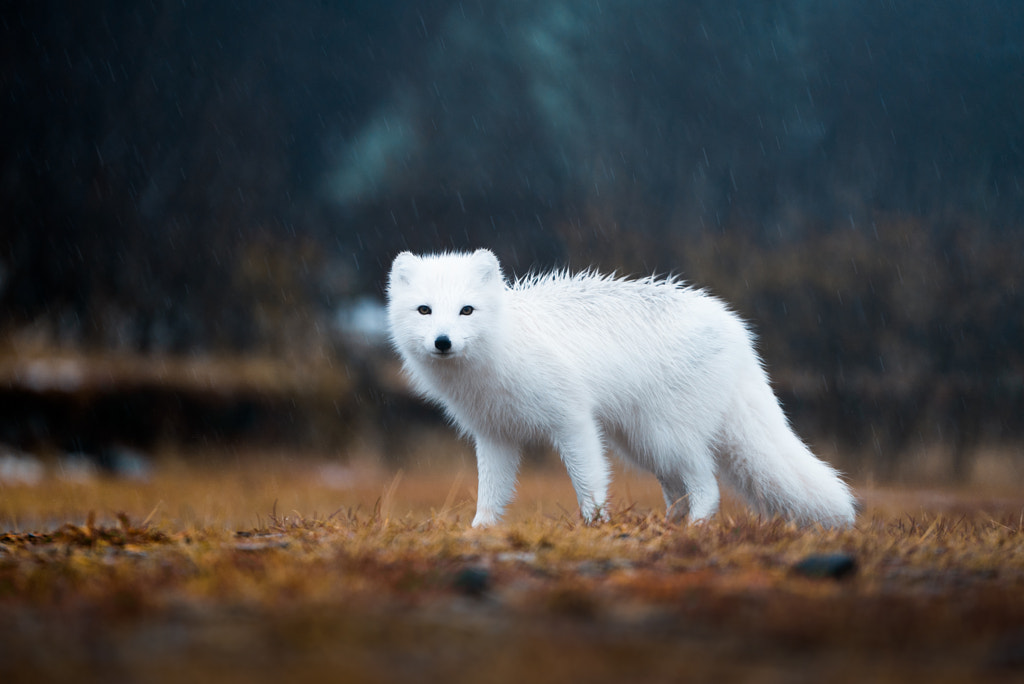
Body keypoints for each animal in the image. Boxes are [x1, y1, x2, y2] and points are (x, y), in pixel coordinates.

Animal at [385, 248, 856, 528]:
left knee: (707, 486)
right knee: (680, 491)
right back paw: (669, 527)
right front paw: (479, 534)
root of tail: (737, 330)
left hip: (666, 437)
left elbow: (589, 482)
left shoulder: (573, 420)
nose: (442, 342)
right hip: (643, 444)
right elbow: (491, 495)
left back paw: (693, 530)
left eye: (467, 310)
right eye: (425, 310)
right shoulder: (494, 435)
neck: (499, 352)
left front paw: (594, 528)